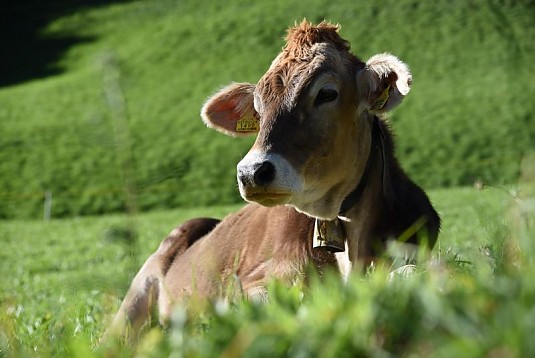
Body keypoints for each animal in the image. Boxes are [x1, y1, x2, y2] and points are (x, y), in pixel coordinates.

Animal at [107, 20, 442, 342]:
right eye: (258, 108)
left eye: (327, 93)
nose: (251, 172)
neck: (352, 252)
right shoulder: (254, 284)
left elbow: (415, 274)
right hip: (136, 296)